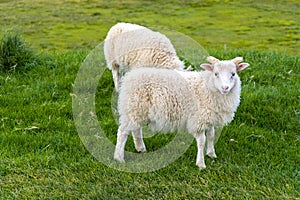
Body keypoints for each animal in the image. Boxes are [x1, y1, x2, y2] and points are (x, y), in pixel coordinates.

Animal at [113, 55, 250, 168]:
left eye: (233, 74)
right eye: (216, 74)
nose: (225, 88)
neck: (208, 86)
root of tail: (130, 76)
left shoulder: (209, 117)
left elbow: (211, 136)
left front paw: (211, 154)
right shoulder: (198, 121)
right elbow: (202, 141)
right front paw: (201, 163)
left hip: (139, 110)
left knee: (136, 129)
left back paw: (140, 148)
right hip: (133, 107)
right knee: (123, 132)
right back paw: (119, 158)